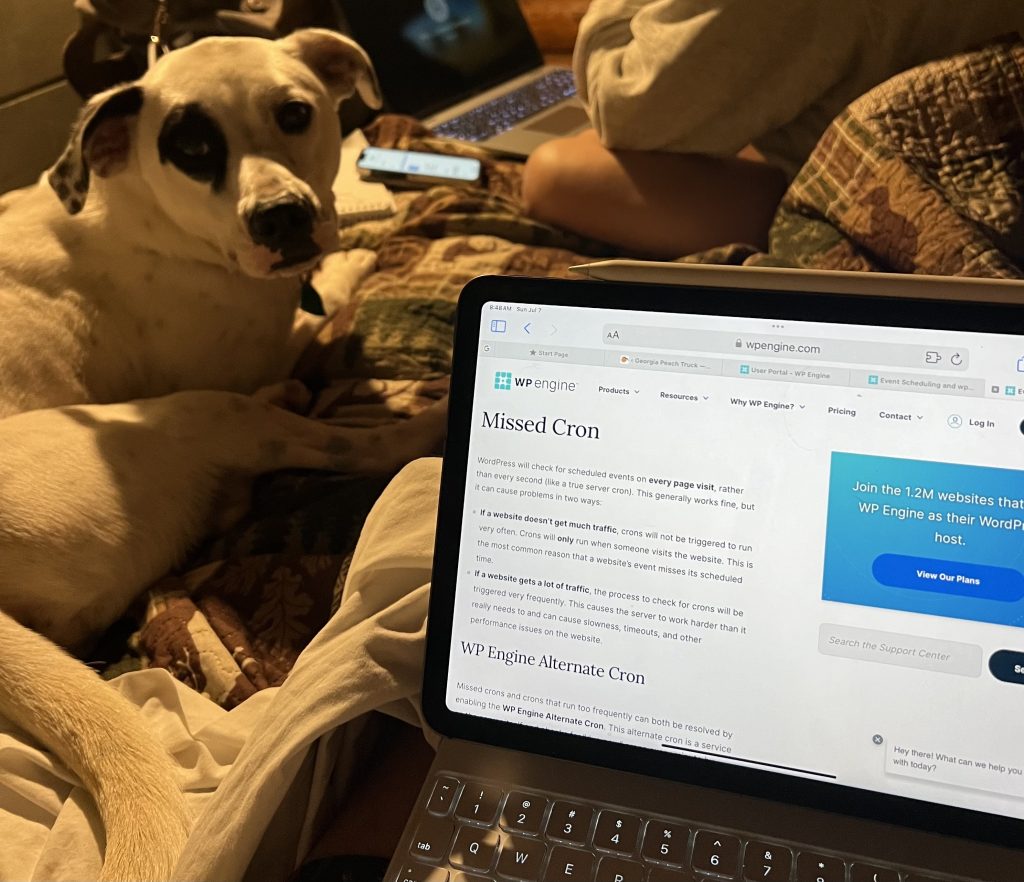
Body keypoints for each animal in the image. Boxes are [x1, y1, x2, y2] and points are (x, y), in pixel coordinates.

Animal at [1, 29, 448, 880]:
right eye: (192, 149)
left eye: (294, 113)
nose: (281, 218)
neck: (138, 214)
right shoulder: (244, 356)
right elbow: (326, 303)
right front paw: (358, 259)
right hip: (199, 415)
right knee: (342, 446)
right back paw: (418, 424)